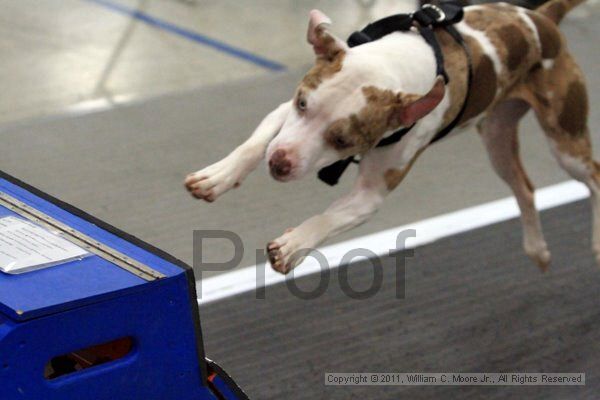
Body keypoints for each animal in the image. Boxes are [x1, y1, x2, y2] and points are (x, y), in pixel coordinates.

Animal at [185, 0, 592, 276]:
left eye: (343, 141)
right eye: (302, 103)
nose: (280, 161)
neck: (398, 62)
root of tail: (543, 18)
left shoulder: (371, 194)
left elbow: (330, 218)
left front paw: (296, 243)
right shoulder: (285, 114)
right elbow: (256, 142)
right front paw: (218, 176)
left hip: (566, 142)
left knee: (593, 177)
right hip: (497, 136)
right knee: (524, 187)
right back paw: (537, 249)